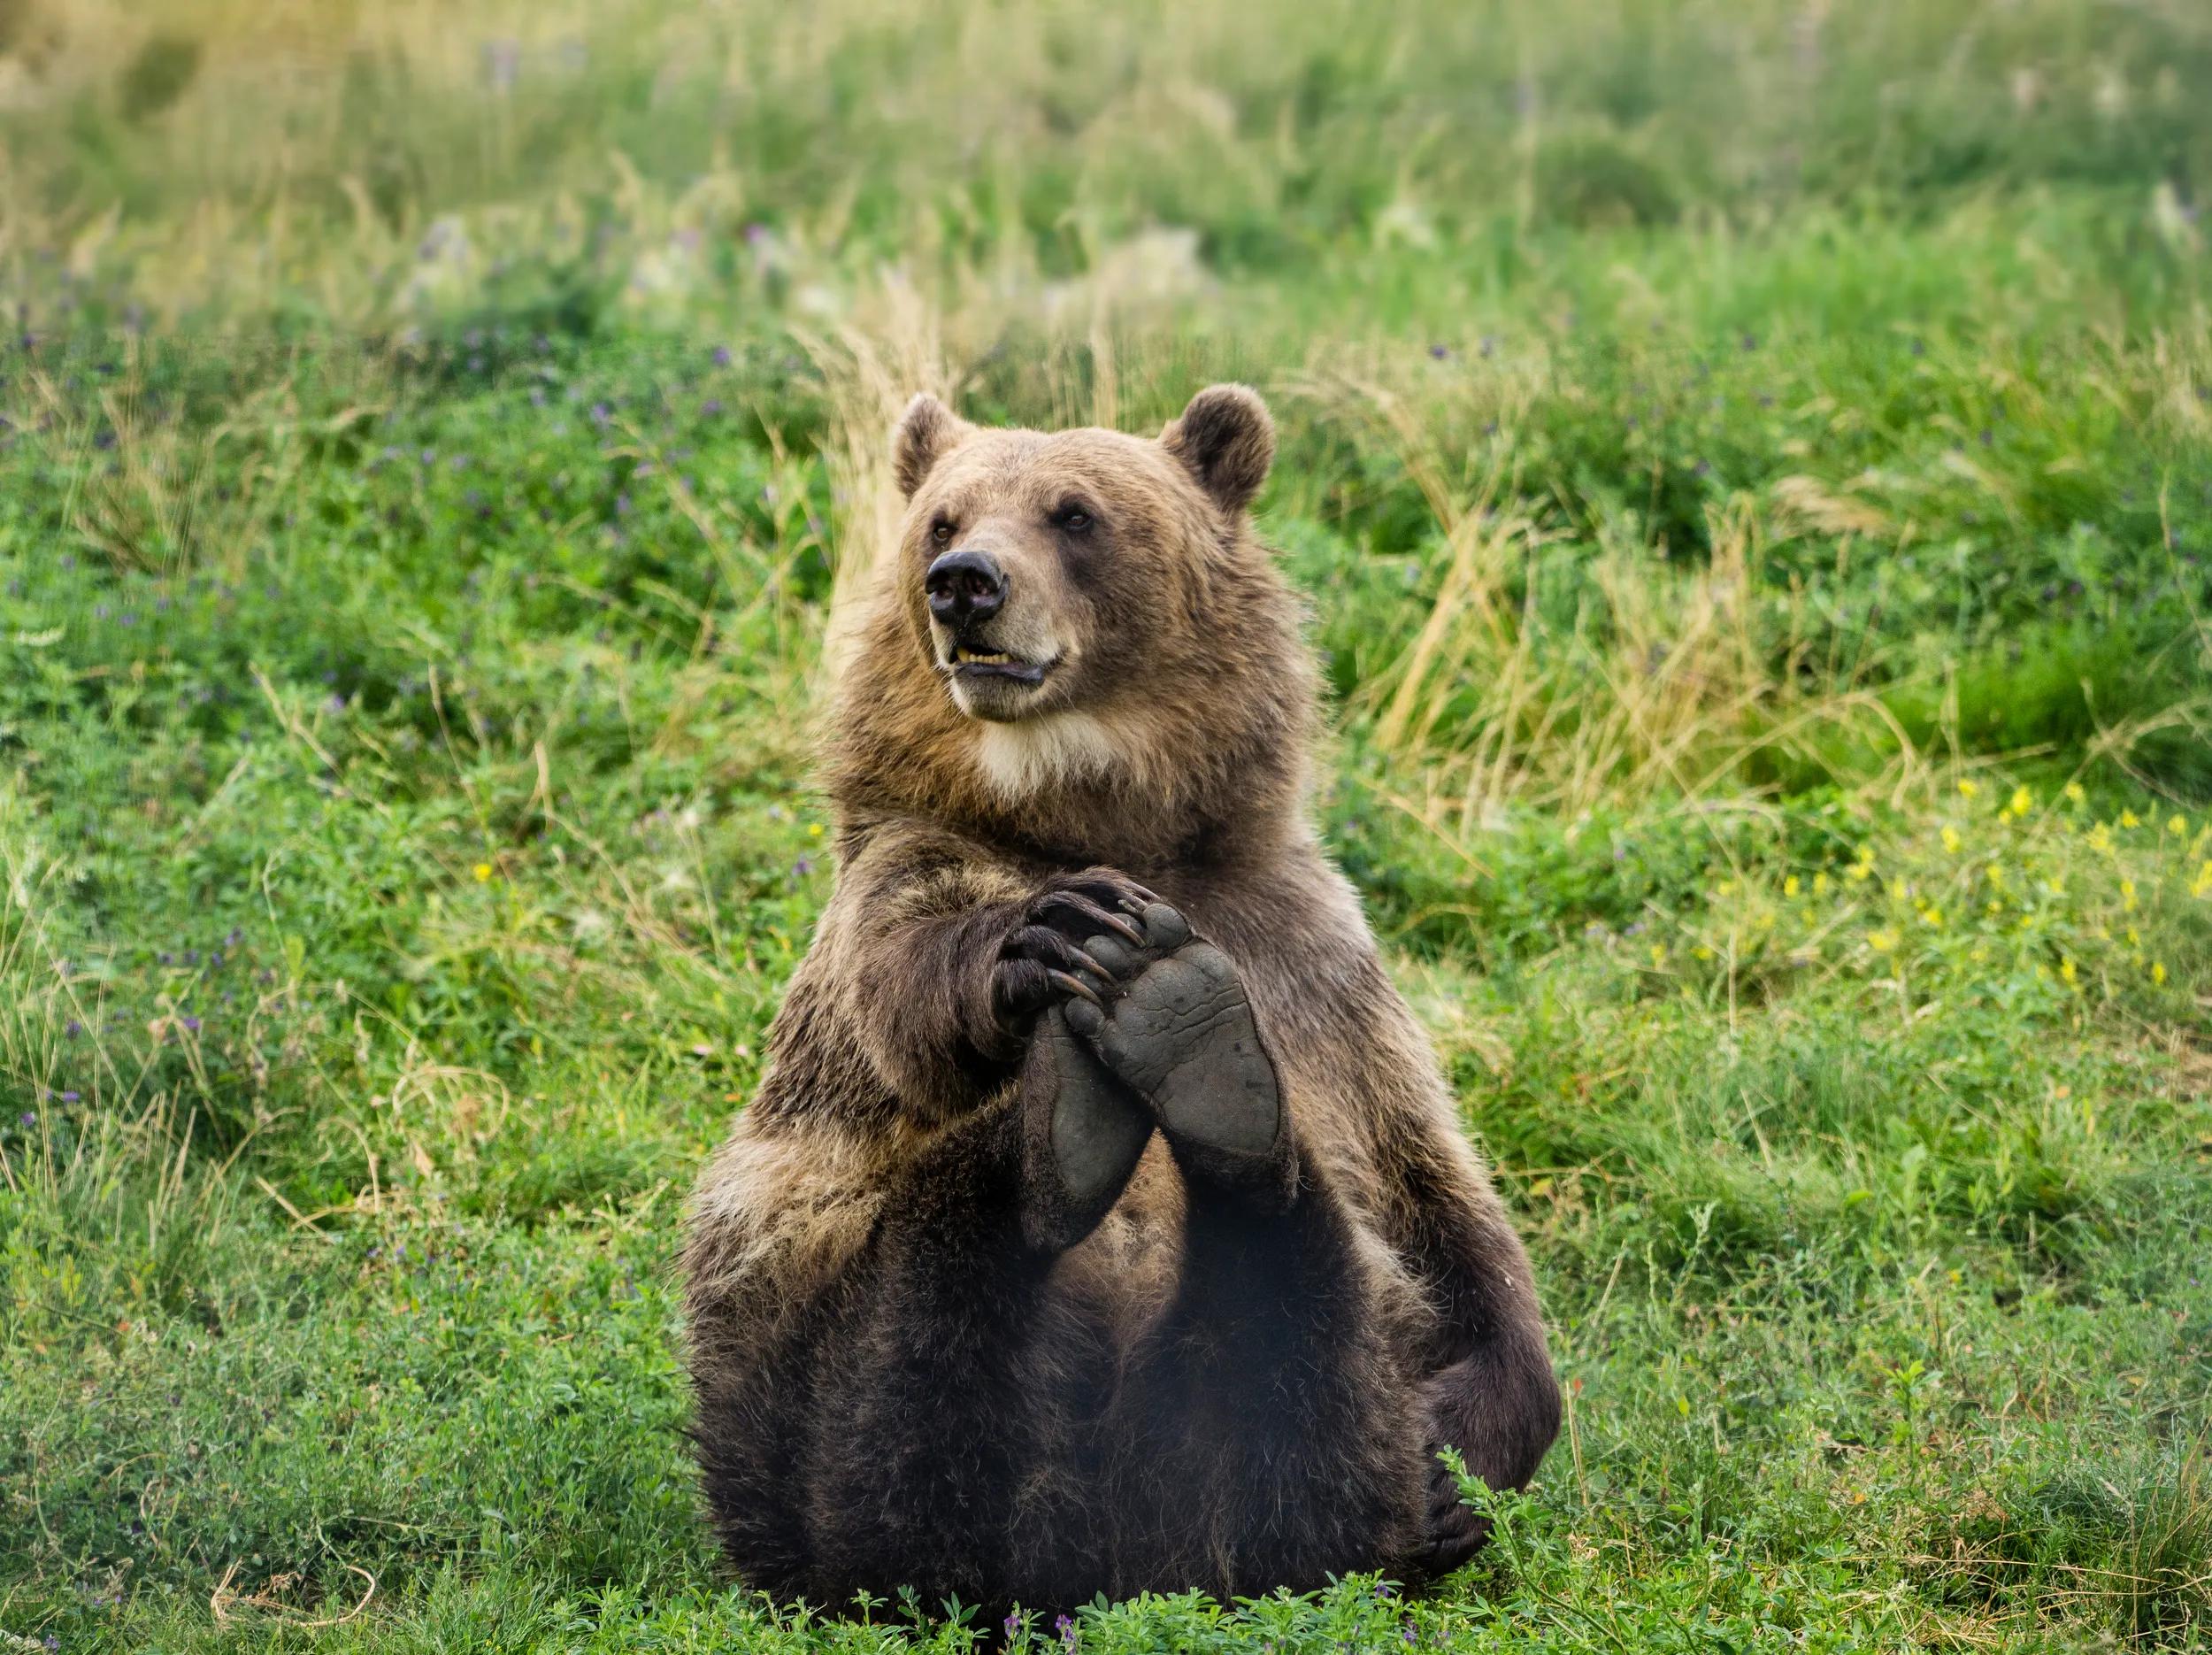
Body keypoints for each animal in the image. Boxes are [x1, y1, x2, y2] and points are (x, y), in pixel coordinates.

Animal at [681, 384, 1560, 1622]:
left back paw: (1194, 1055)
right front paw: (1062, 934)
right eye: (943, 516)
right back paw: (1063, 1135)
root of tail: (1104, 1560)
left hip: (1262, 1443)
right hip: (800, 1400)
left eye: (1074, 512)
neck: (1087, 813)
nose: (964, 581)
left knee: (1303, 1372)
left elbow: (1442, 1200)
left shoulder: (1305, 954)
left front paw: (1456, 1471)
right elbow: (903, 988)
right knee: (907, 1400)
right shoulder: (899, 877)